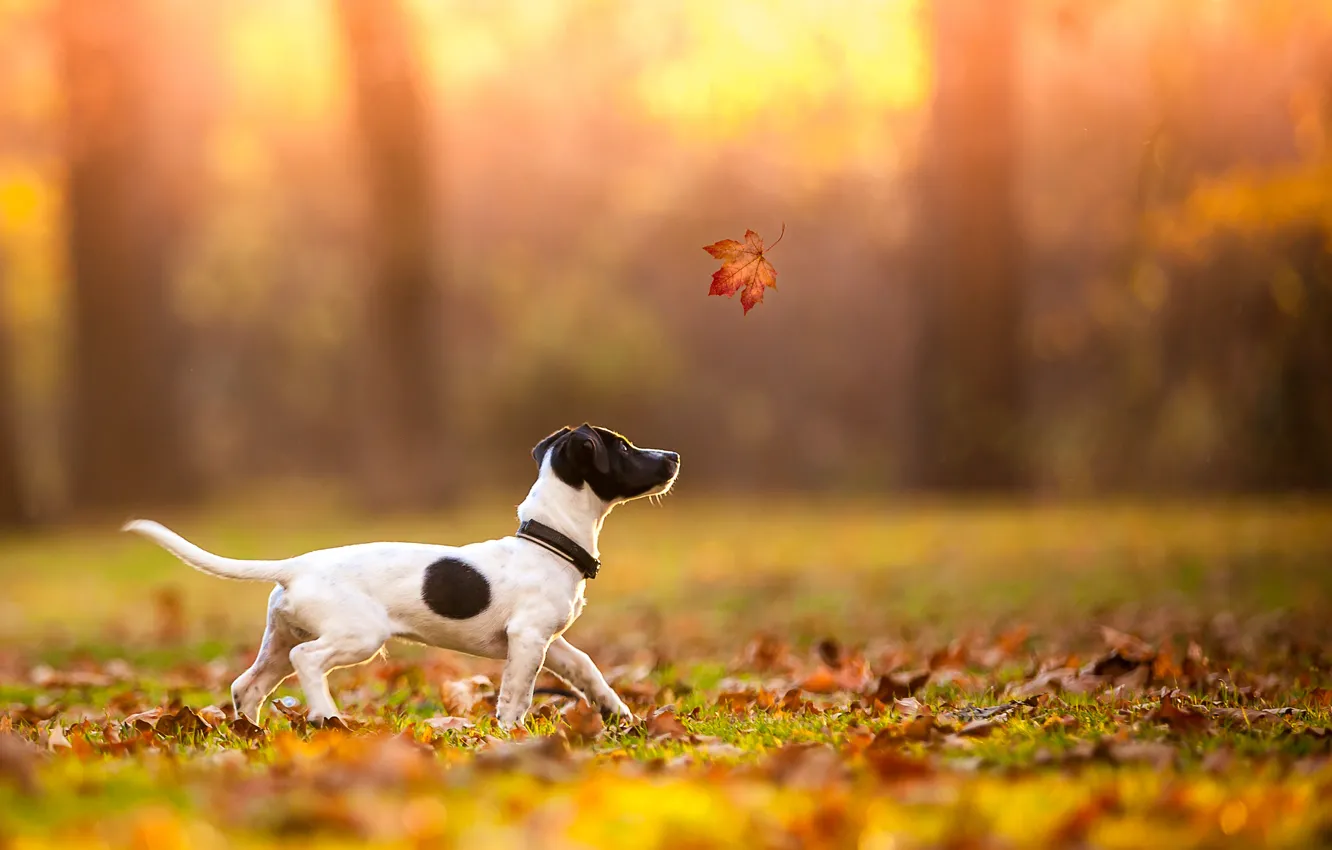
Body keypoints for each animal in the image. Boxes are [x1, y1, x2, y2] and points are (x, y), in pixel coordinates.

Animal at [125, 426, 681, 735]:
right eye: (624, 448)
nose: (674, 456)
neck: (547, 540)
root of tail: (296, 566)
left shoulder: (548, 639)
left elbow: (586, 667)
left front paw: (617, 712)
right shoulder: (527, 639)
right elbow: (516, 695)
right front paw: (510, 733)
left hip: (279, 640)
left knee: (248, 684)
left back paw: (250, 732)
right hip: (356, 636)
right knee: (309, 662)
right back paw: (326, 716)